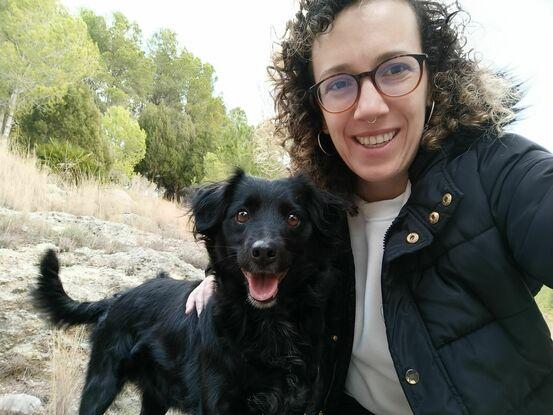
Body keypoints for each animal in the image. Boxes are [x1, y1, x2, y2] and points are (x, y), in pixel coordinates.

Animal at [32, 170, 344, 415]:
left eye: (293, 218)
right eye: (242, 215)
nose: (264, 251)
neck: (269, 325)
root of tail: (118, 296)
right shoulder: (216, 404)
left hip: (155, 396)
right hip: (102, 381)